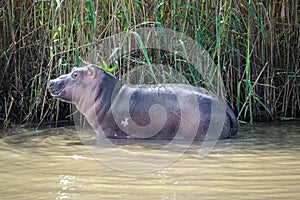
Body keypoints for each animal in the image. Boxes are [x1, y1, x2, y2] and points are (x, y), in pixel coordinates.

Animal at [48, 65, 238, 141]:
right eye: (73, 69)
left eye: (75, 74)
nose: (51, 81)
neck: (106, 94)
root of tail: (225, 106)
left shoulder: (106, 131)